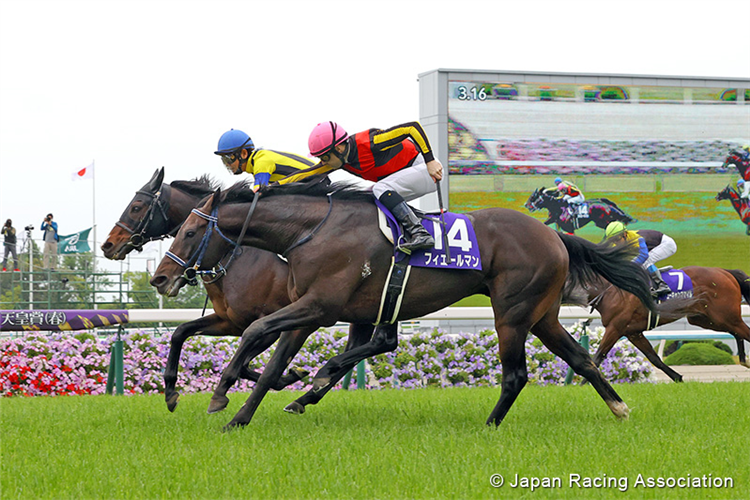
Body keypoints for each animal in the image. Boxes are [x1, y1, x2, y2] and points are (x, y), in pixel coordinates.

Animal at [568, 266, 750, 378]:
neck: (609, 291)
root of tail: (726, 272)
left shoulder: (615, 328)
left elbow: (597, 357)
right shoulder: (632, 332)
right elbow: (654, 358)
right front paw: (678, 377)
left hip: (724, 316)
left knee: (743, 331)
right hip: (706, 319)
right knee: (737, 333)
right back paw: (743, 360)